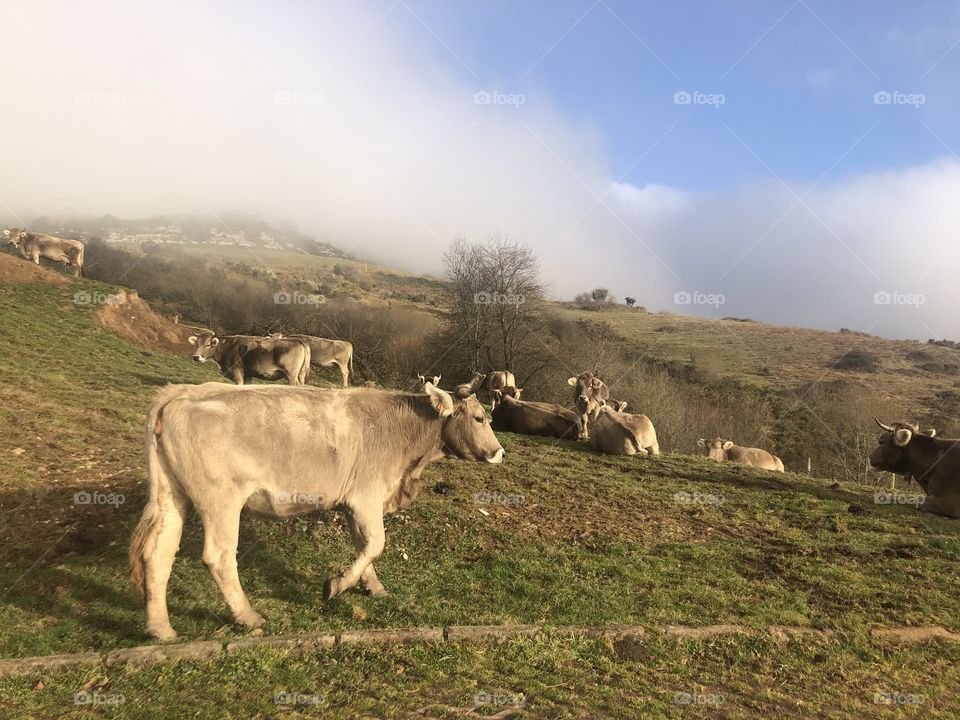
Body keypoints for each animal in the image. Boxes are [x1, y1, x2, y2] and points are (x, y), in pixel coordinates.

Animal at [128, 375, 502, 640]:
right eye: (480, 418)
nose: (500, 452)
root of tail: (179, 393)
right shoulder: (366, 497)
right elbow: (376, 544)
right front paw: (336, 585)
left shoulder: (353, 504)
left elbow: (363, 545)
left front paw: (372, 586)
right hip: (221, 500)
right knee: (218, 557)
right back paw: (248, 616)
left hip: (171, 495)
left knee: (158, 553)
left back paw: (161, 628)